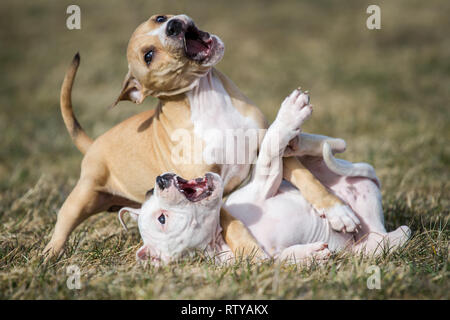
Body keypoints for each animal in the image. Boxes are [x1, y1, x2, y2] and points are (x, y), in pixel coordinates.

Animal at [44, 14, 356, 260]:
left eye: (159, 18)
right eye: (148, 55)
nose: (172, 26)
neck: (206, 99)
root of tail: (93, 143)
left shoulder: (266, 145)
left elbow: (307, 179)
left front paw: (339, 212)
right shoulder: (211, 187)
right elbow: (233, 223)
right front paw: (252, 252)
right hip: (84, 195)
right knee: (64, 221)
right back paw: (48, 256)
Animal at [118, 90, 412, 264]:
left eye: (152, 203)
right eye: (163, 219)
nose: (158, 182)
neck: (219, 236)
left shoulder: (262, 187)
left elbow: (270, 148)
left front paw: (289, 118)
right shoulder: (258, 260)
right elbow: (281, 259)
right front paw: (309, 255)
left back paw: (302, 141)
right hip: (366, 241)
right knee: (384, 242)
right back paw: (395, 237)